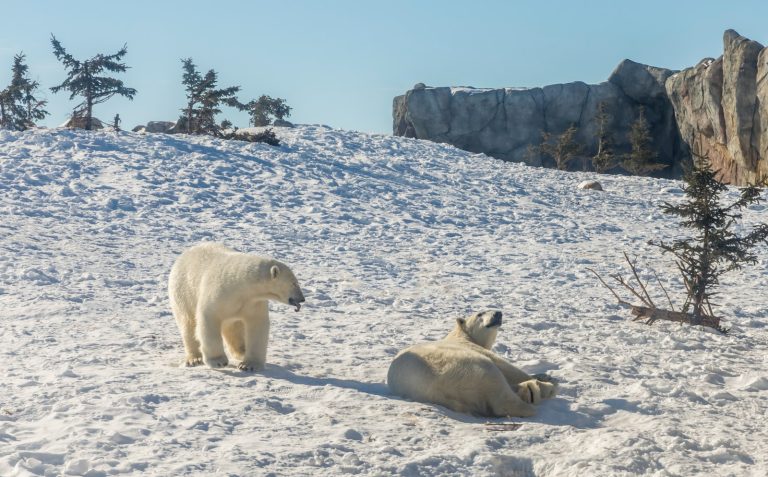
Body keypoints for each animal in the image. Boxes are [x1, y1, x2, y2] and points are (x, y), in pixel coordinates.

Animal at [168, 242, 305, 371]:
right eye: (294, 283)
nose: (302, 299)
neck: (239, 284)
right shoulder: (218, 293)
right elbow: (208, 319)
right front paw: (218, 361)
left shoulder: (253, 301)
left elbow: (257, 324)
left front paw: (249, 365)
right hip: (183, 292)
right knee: (188, 324)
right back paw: (194, 358)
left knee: (233, 328)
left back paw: (242, 351)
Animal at [387, 310, 557, 417]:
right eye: (480, 313)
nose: (498, 313)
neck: (460, 335)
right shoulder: (471, 348)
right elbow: (506, 367)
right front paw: (548, 379)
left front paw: (543, 375)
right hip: (465, 366)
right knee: (498, 388)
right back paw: (540, 391)